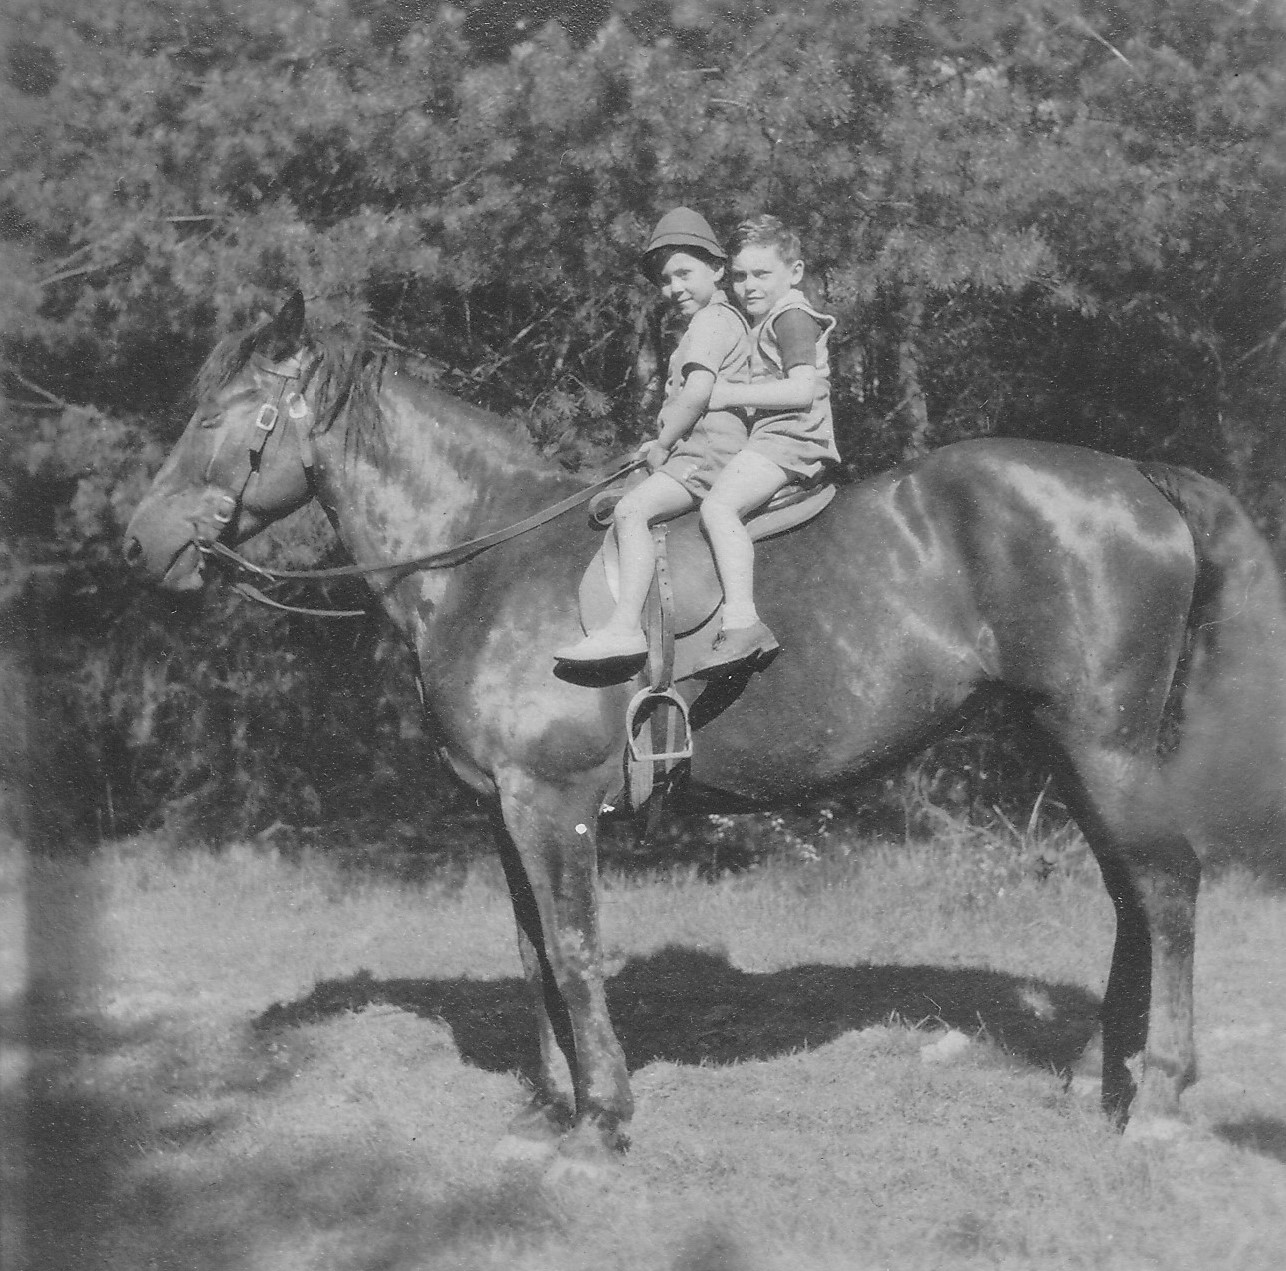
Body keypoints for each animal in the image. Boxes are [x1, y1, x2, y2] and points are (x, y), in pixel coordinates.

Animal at [124, 292, 1286, 1166]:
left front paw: (601, 1123)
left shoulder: (551, 802)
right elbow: (533, 953)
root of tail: (1139, 478)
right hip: (1069, 745)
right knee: (1130, 897)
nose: (139, 541)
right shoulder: (502, 810)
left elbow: (576, 949)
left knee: (1166, 891)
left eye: (229, 415)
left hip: (1103, 742)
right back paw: (1094, 1077)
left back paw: (1156, 1099)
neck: (486, 557)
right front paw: (556, 1108)